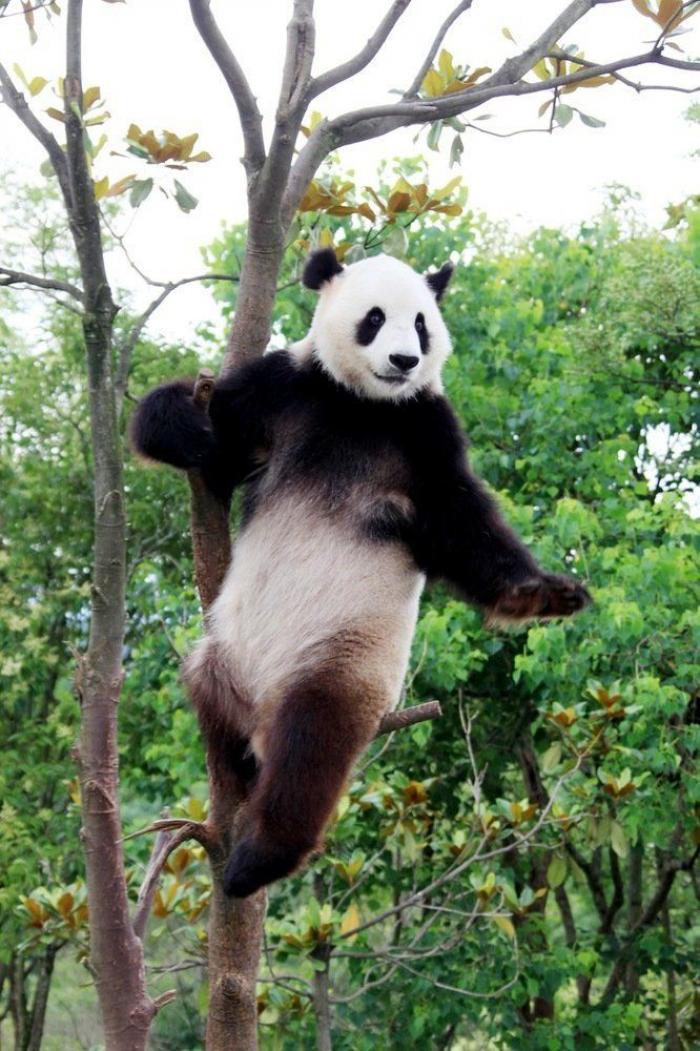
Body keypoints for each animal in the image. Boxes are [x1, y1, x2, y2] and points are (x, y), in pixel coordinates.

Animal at [132, 248, 590, 899]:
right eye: (374, 318)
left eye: (421, 324)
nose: (404, 361)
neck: (364, 404)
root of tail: (259, 707)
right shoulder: (287, 390)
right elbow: (215, 438)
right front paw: (182, 425)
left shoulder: (425, 428)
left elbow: (459, 521)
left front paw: (544, 592)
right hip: (223, 658)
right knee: (207, 692)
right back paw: (235, 771)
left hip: (339, 659)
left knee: (311, 750)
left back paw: (256, 859)